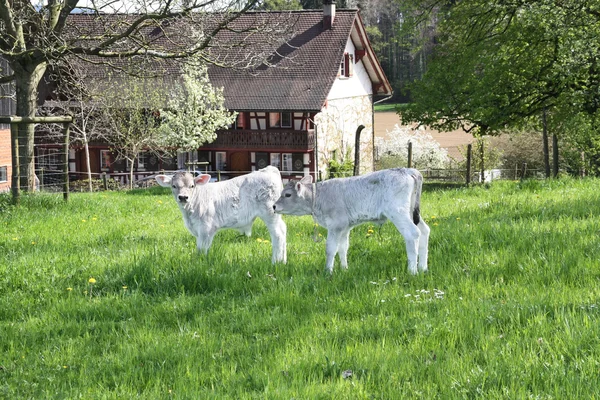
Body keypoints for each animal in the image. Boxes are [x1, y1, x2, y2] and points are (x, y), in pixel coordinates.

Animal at [155, 166, 286, 264]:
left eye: (192, 185)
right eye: (174, 186)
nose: (183, 197)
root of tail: (269, 169)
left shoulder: (206, 229)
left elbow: (202, 250)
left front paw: (200, 263)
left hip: (269, 212)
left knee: (278, 234)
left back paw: (275, 262)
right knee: (283, 229)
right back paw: (283, 261)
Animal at [274, 167, 428, 274]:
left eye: (287, 195)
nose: (274, 206)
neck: (318, 197)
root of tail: (408, 170)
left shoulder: (335, 226)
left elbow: (331, 249)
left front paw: (328, 271)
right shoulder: (345, 227)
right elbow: (343, 248)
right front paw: (344, 269)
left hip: (398, 212)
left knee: (413, 233)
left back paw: (412, 271)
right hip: (412, 213)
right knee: (424, 230)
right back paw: (423, 268)